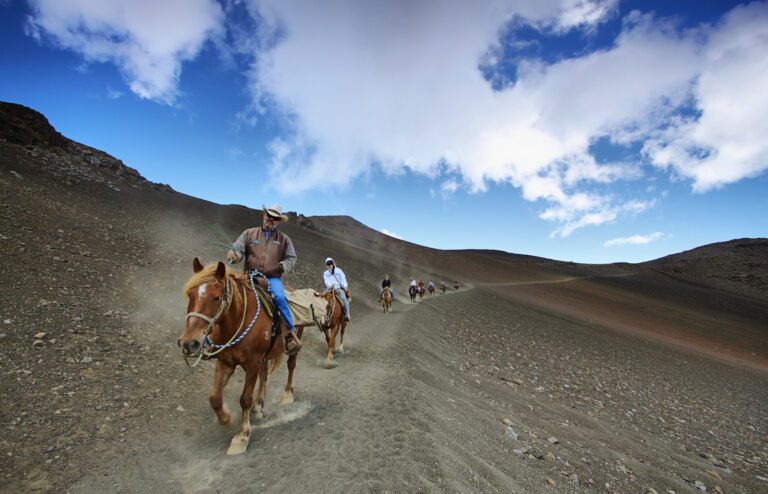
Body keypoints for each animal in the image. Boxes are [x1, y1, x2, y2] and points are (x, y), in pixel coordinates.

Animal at [178, 258, 306, 456]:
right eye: (191, 294)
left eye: (216, 297)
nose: (188, 343)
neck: (238, 320)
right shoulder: (226, 362)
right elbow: (214, 397)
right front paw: (226, 419)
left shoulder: (252, 364)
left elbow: (245, 399)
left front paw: (241, 436)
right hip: (265, 356)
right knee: (264, 374)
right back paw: (259, 405)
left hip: (293, 346)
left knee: (291, 366)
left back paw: (287, 395)